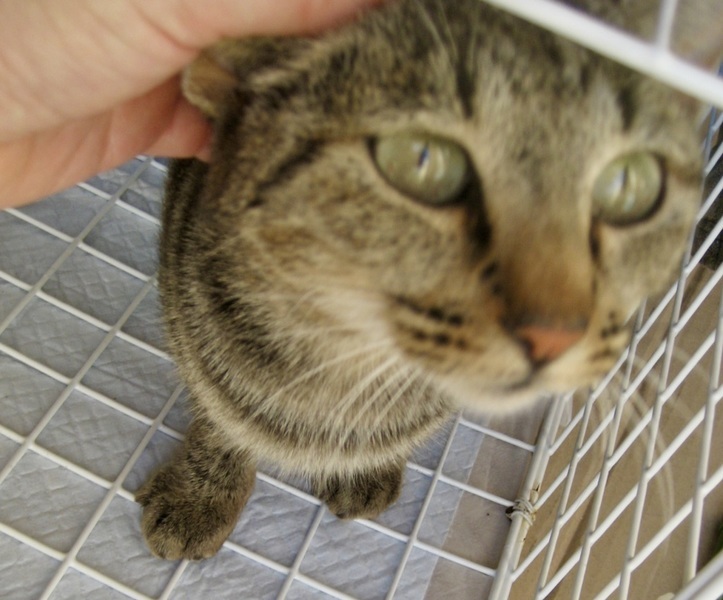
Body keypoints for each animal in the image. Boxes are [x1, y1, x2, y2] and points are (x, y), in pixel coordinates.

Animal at [136, 0, 722, 560]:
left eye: (630, 184)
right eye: (421, 159)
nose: (556, 334)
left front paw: (367, 465)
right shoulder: (190, 330)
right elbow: (220, 419)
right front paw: (202, 492)